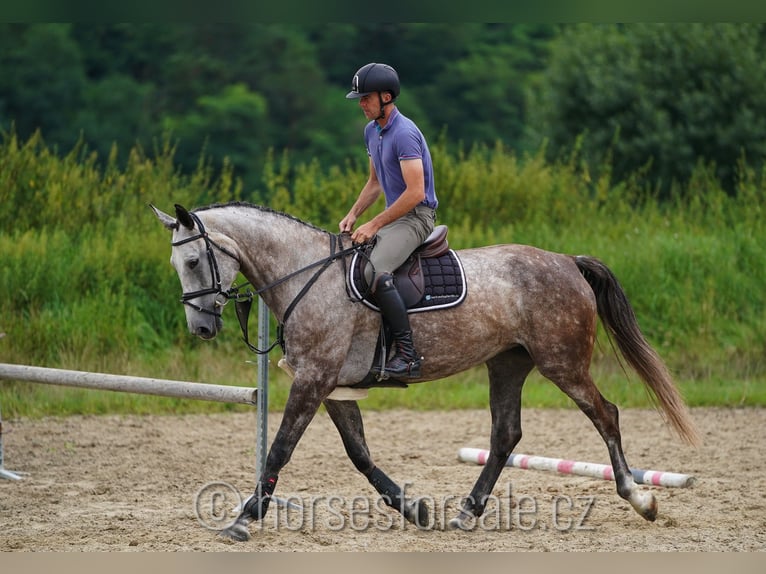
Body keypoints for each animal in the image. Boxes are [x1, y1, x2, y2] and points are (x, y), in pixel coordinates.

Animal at [152, 202, 704, 544]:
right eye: (179, 264)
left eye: (195, 260)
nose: (201, 327)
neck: (306, 274)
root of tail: (567, 261)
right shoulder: (333, 386)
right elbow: (359, 454)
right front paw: (414, 509)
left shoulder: (314, 380)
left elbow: (281, 447)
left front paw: (244, 518)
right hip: (508, 363)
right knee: (505, 434)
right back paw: (466, 512)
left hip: (562, 363)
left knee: (606, 414)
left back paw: (640, 498)